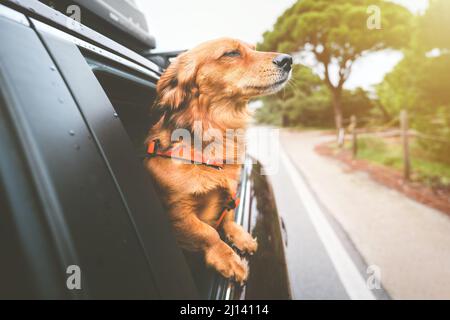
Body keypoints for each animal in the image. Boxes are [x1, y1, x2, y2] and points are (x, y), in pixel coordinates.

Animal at [144, 38, 292, 282]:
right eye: (231, 53)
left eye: (253, 48)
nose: (288, 60)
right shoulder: (177, 212)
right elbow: (208, 233)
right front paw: (228, 259)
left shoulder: (232, 193)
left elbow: (228, 218)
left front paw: (239, 236)